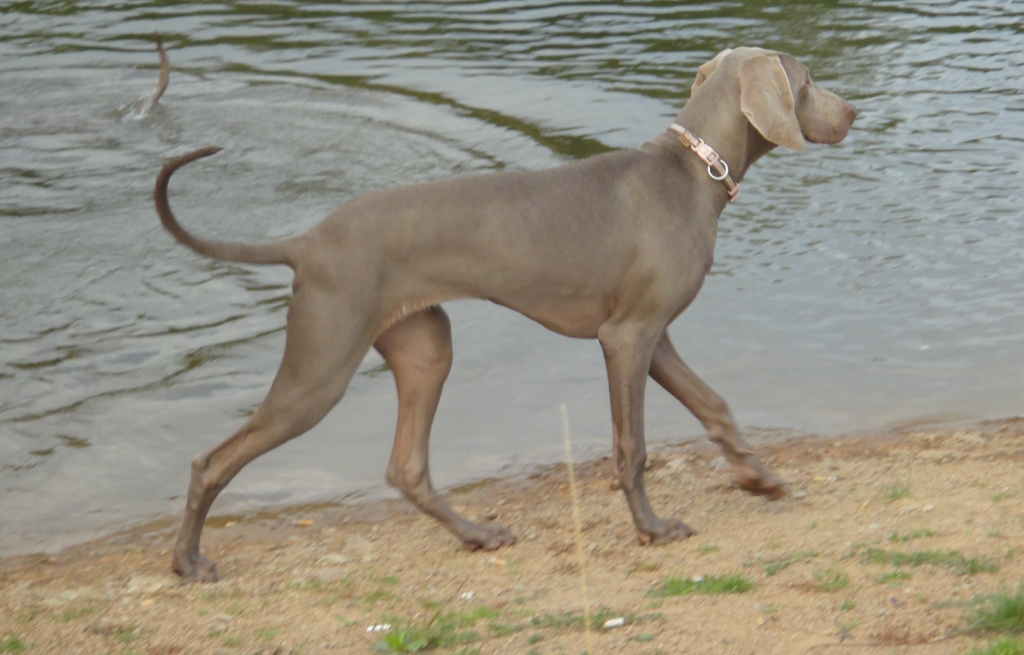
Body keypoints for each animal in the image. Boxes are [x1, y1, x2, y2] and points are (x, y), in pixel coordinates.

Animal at [154, 47, 855, 582]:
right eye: (808, 80)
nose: (854, 112)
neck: (690, 171)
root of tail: (305, 241)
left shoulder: (653, 337)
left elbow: (715, 404)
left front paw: (759, 477)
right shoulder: (627, 336)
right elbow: (632, 447)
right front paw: (652, 528)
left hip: (424, 346)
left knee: (406, 466)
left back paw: (477, 535)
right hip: (321, 366)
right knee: (212, 461)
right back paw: (189, 563)